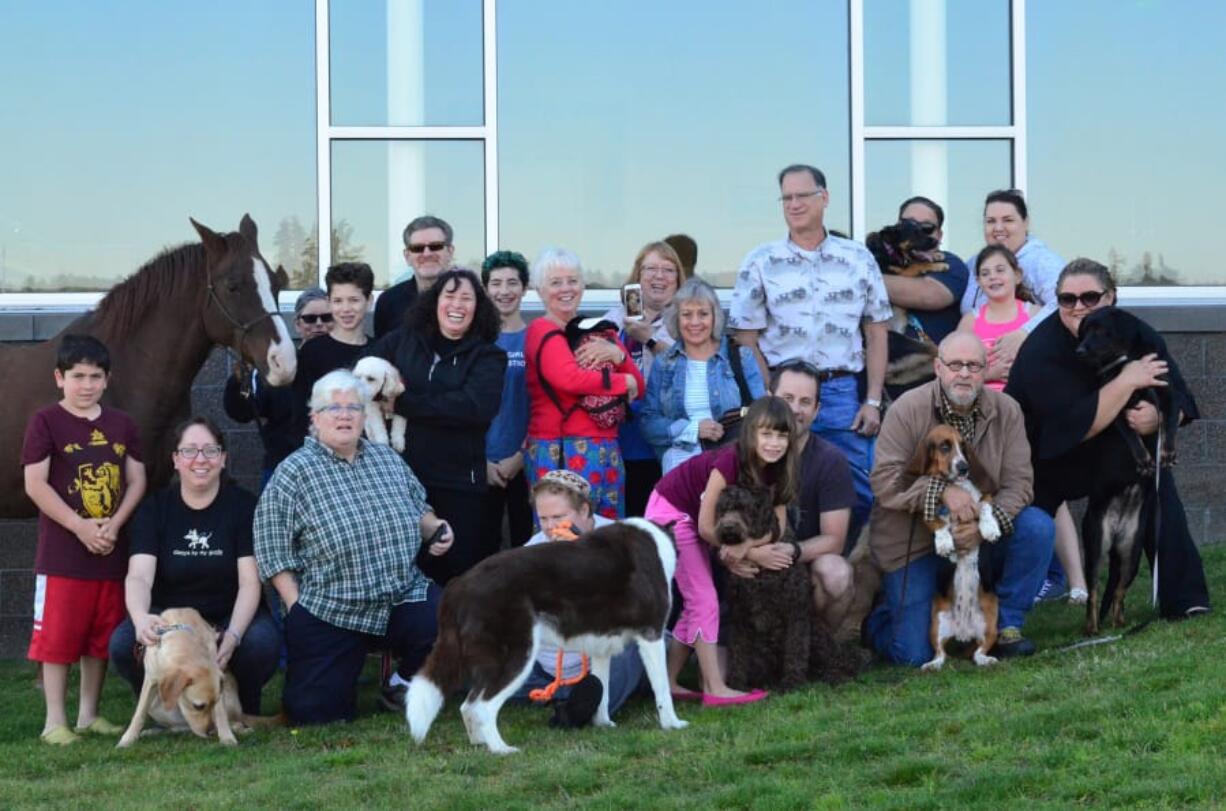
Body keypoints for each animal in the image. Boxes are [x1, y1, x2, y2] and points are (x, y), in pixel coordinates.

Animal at [115, 610, 245, 749]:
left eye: (213, 703)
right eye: (198, 706)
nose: (210, 732)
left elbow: (221, 713)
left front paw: (227, 737)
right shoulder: (150, 680)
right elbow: (139, 713)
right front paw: (128, 738)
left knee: (237, 722)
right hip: (155, 707)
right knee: (178, 728)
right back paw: (153, 731)